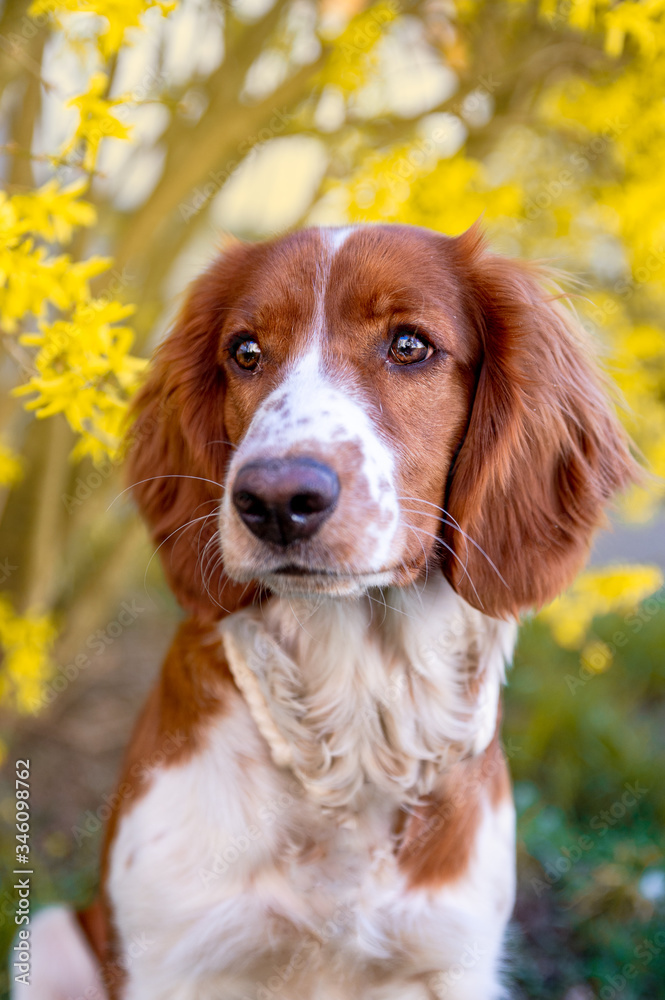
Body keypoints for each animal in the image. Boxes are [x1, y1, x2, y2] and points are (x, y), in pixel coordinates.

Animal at [18, 223, 636, 996]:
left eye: (410, 345)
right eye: (245, 351)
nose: (276, 501)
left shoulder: (453, 959)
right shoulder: (169, 956)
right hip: (49, 939)